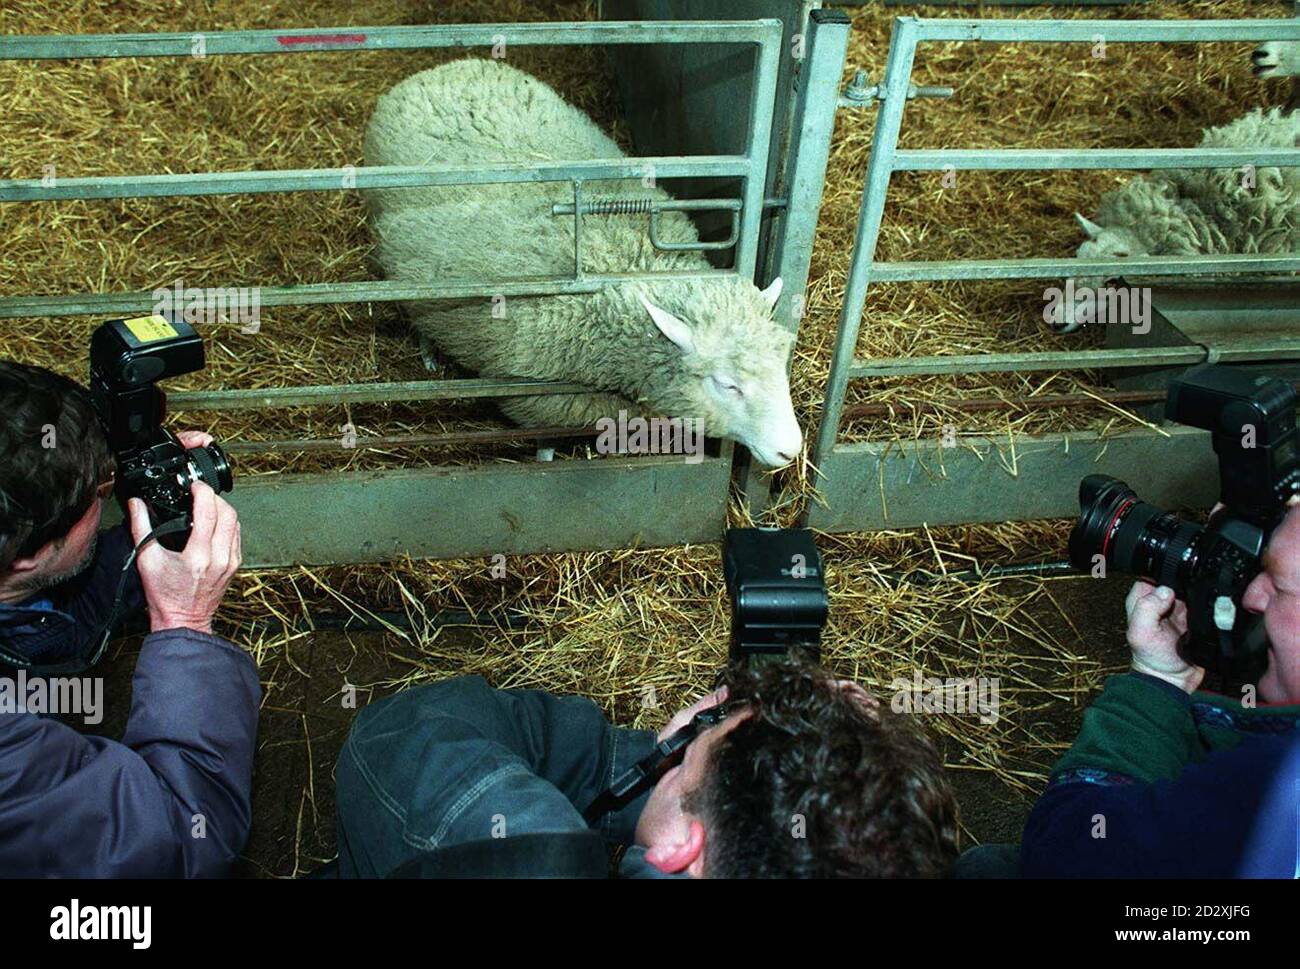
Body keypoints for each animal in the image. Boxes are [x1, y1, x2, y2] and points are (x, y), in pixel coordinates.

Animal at [362, 58, 802, 468]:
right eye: (727, 385)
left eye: (781, 365)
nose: (791, 450)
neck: (625, 265)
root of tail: (439, 69)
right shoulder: (541, 396)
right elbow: (546, 443)